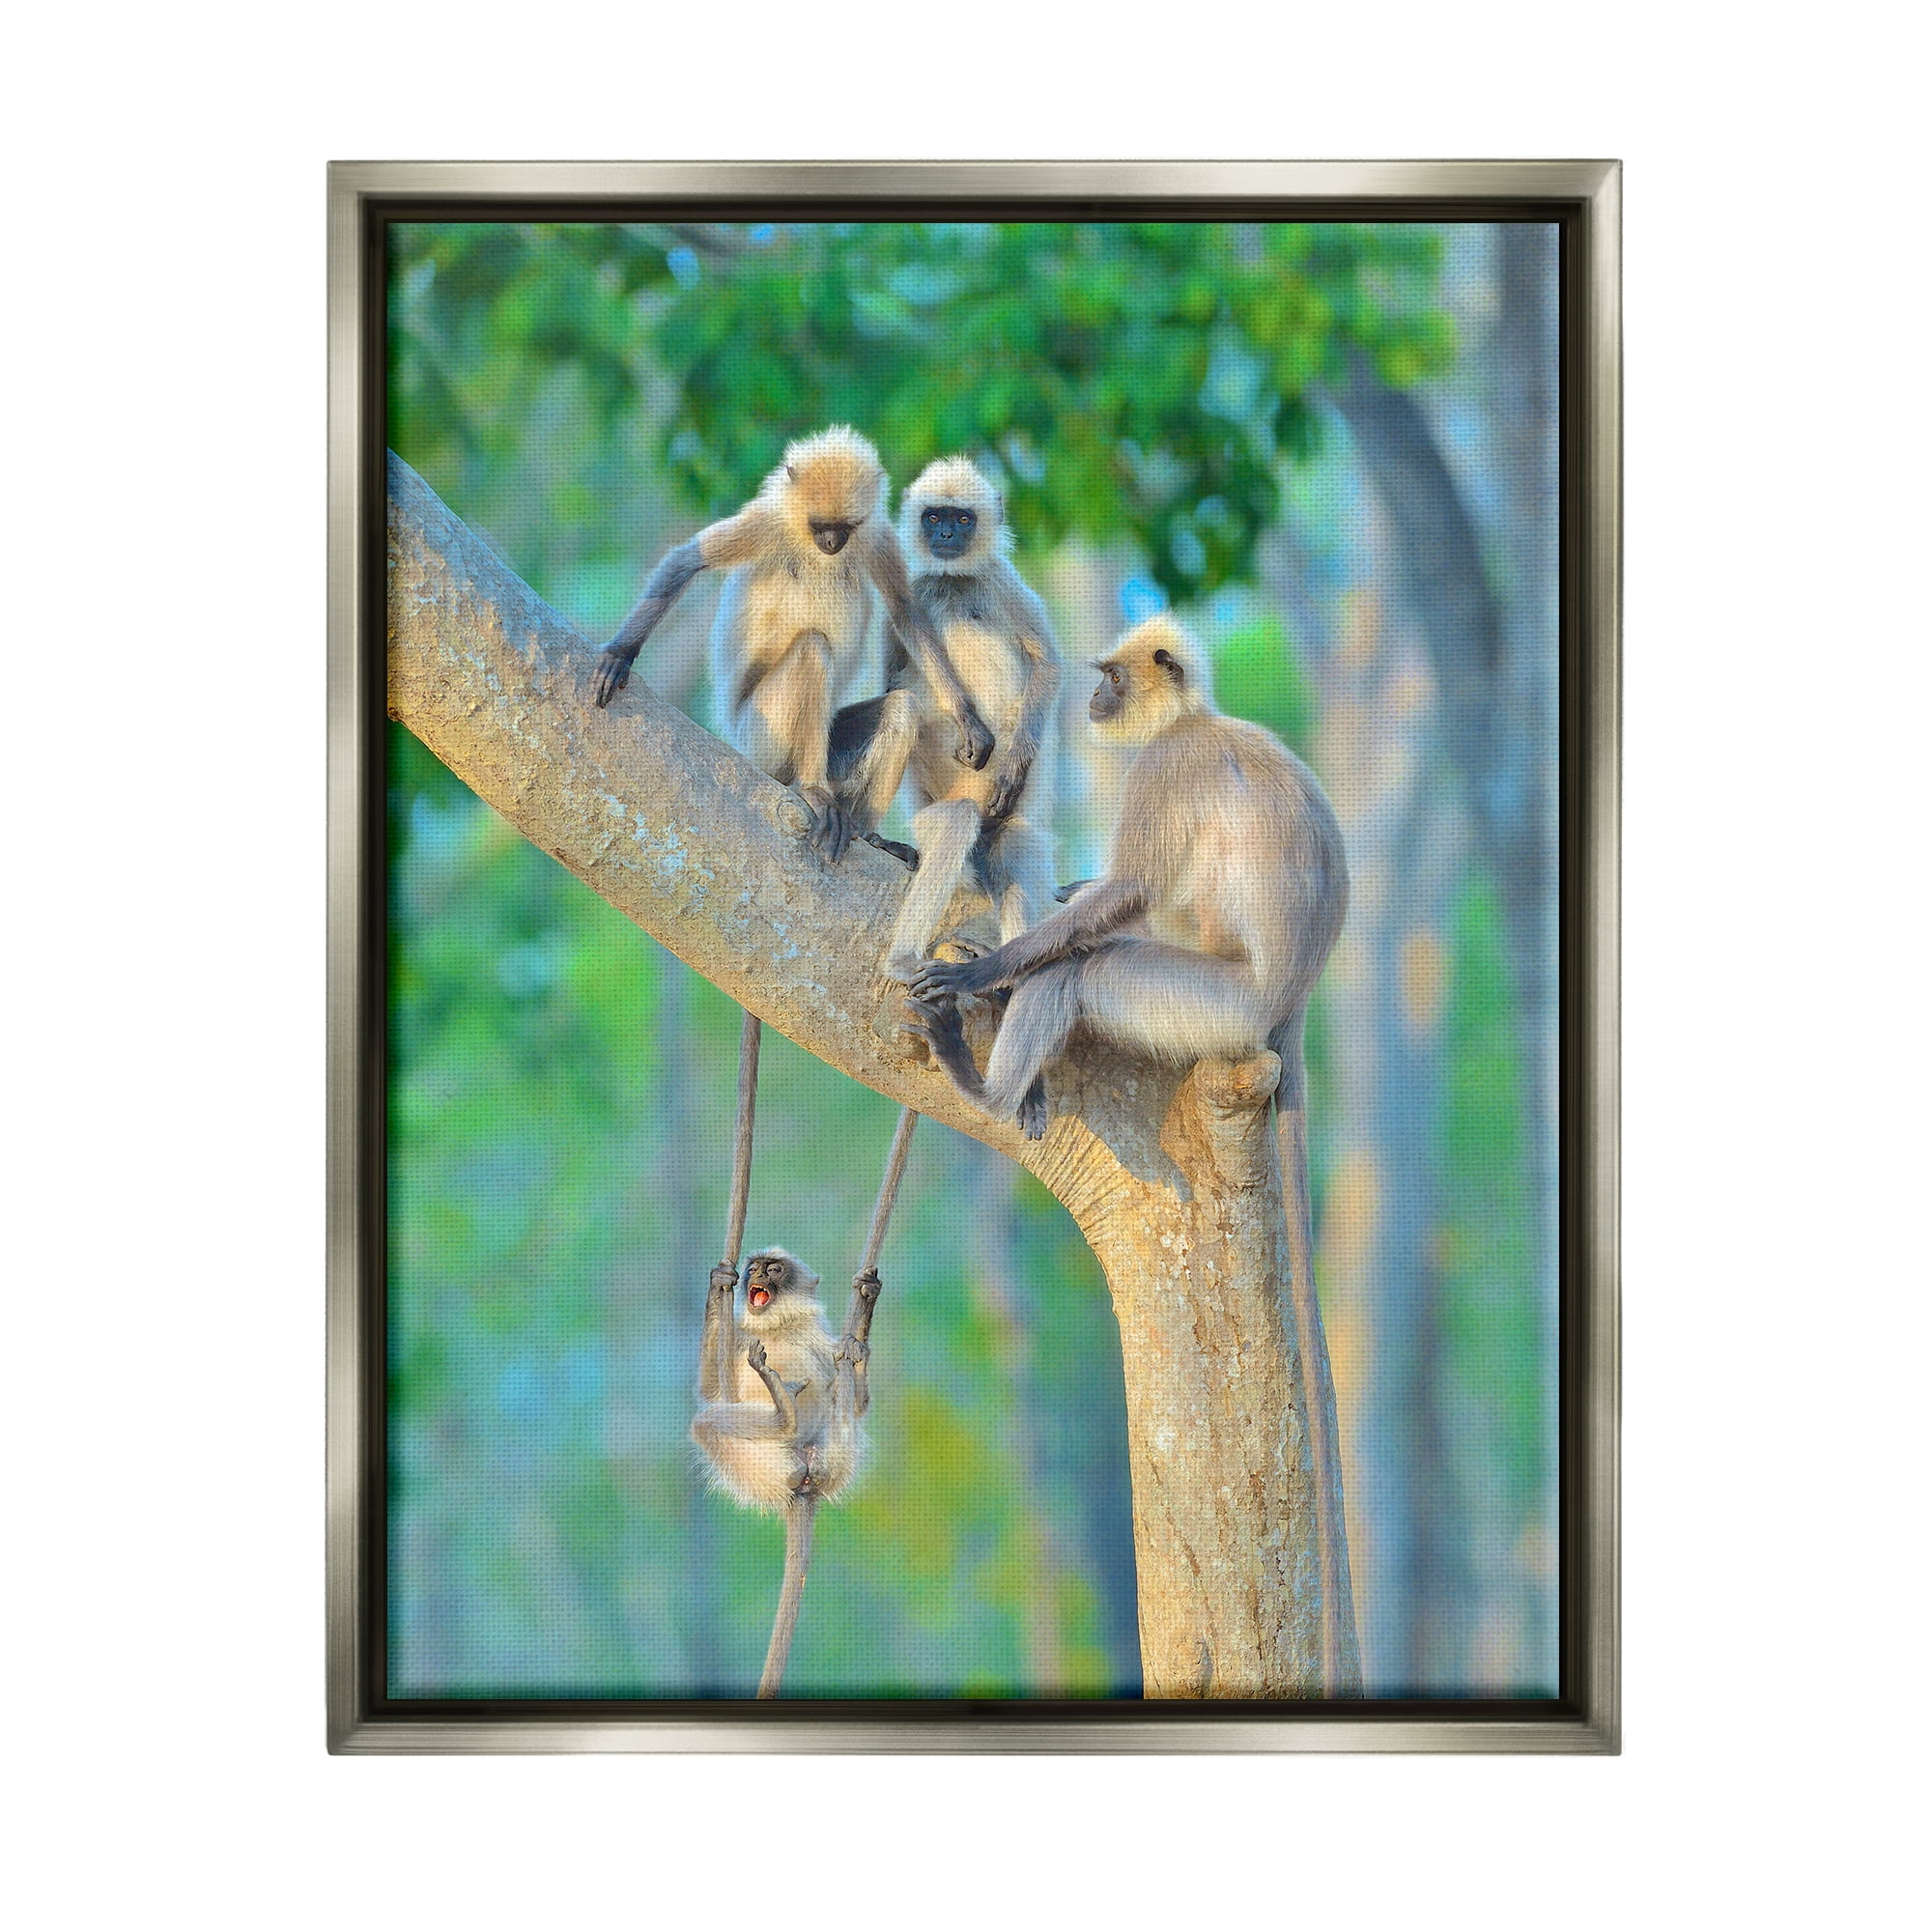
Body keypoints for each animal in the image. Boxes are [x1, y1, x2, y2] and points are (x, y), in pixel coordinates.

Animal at [592, 424, 993, 862]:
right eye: (819, 526)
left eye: (845, 527)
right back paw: (812, 789)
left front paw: (968, 719)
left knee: (903, 707)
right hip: (759, 737)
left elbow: (907, 613)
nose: (832, 542)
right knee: (813, 649)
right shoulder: (768, 521)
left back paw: (867, 833)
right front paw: (620, 654)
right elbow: (686, 561)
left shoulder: (876, 534)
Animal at [693, 1246, 881, 1698]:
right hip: (763, 1467)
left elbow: (859, 1402)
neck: (776, 1327)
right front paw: (719, 1282)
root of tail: (805, 1480)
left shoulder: (818, 1338)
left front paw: (866, 1302)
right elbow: (710, 1391)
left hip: (833, 1455)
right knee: (709, 1425)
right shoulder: (741, 1339)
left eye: (775, 1269)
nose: (756, 1274)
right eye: (754, 1269)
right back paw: (783, 1418)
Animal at [902, 611, 1357, 1693]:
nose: (1098, 698)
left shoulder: (1166, 766)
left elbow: (1130, 894)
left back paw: (986, 1079)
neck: (1195, 719)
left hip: (1207, 1005)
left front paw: (985, 970)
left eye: (1110, 676)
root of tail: (1288, 1005)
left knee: (1089, 968)